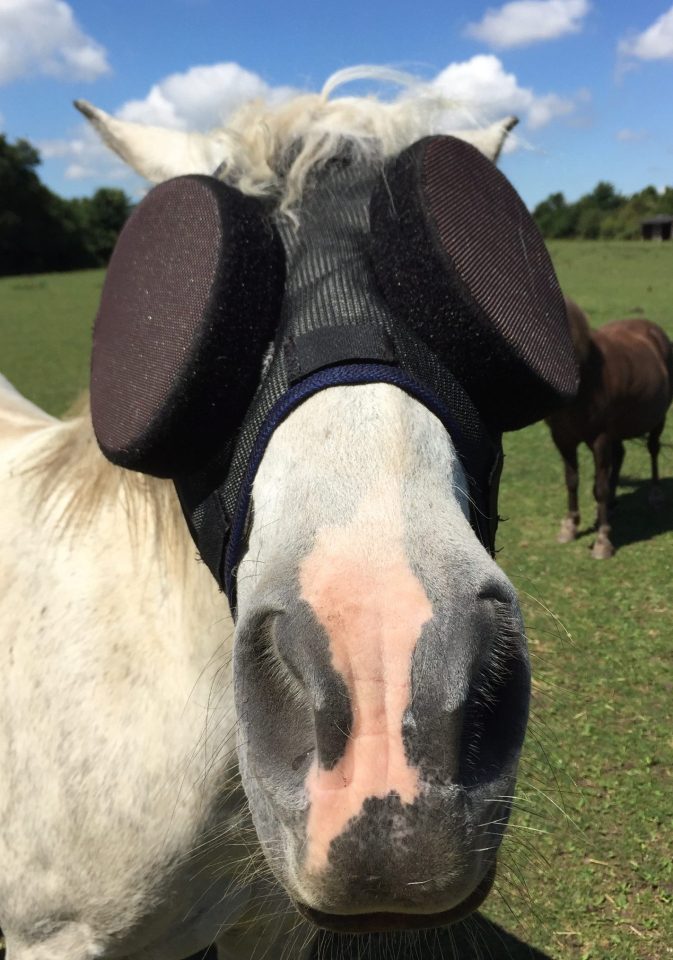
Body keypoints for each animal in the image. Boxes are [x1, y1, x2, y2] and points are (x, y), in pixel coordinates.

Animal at [548, 296, 668, 560]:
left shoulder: (600, 438)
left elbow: (599, 488)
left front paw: (603, 540)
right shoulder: (562, 438)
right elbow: (572, 480)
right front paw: (570, 526)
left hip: (658, 419)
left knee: (653, 450)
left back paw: (655, 495)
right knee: (620, 454)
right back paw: (612, 504)